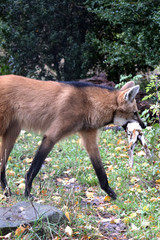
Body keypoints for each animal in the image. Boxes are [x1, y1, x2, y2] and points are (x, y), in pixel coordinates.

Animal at [0, 75, 146, 199]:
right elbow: (33, 170)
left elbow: (101, 173)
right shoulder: (51, 136)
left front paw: (113, 196)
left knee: (1, 168)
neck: (89, 104)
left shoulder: (89, 137)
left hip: (12, 134)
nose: (144, 126)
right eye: (135, 113)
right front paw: (27, 194)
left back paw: (7, 193)